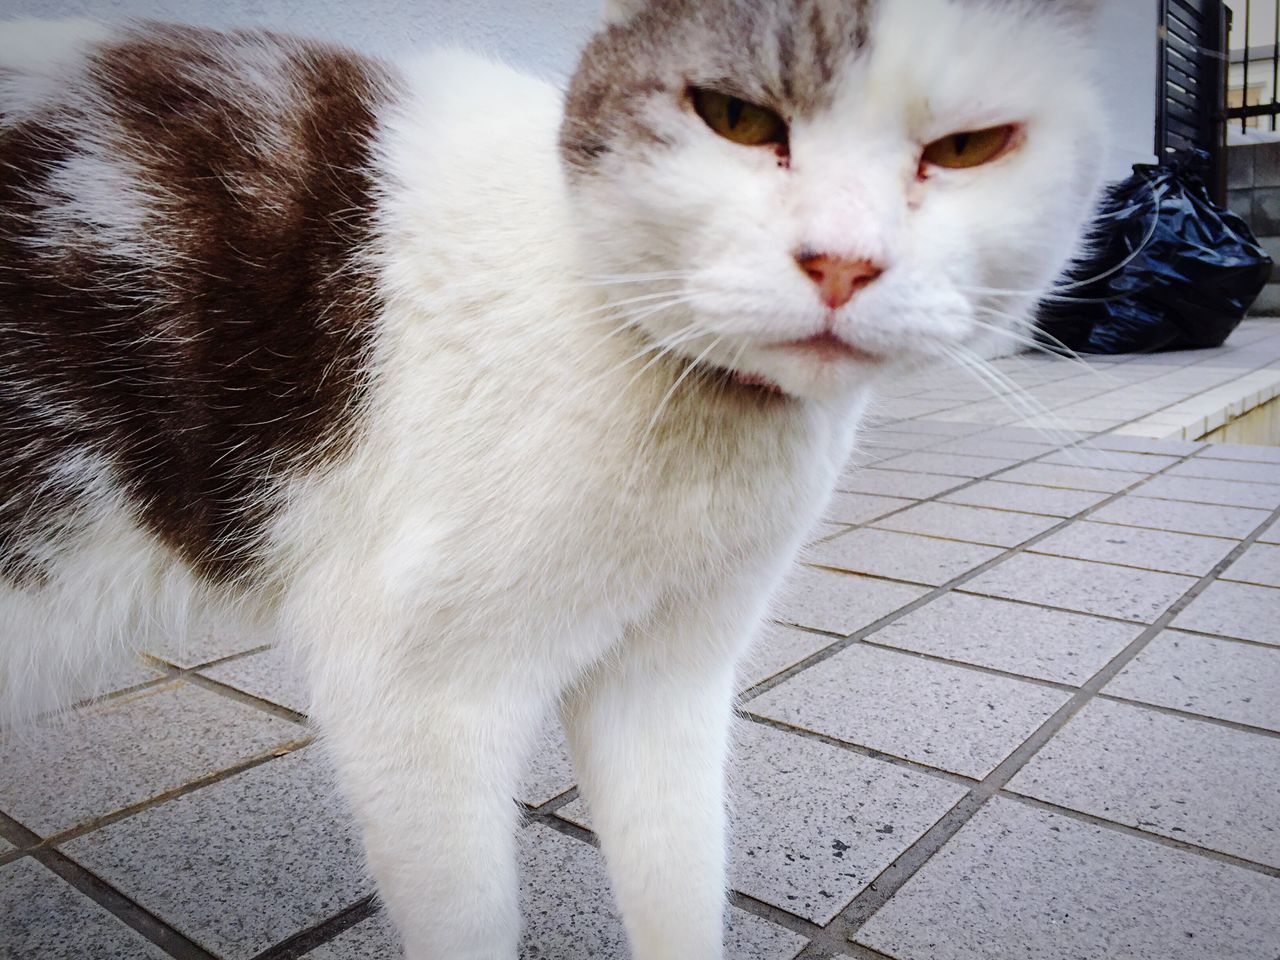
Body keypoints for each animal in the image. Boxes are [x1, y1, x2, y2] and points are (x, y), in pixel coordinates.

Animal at [0, 3, 1100, 957]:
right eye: (736, 118)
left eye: (966, 147)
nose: (840, 262)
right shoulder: (415, 695)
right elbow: (469, 924)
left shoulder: (672, 677)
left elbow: (677, 877)